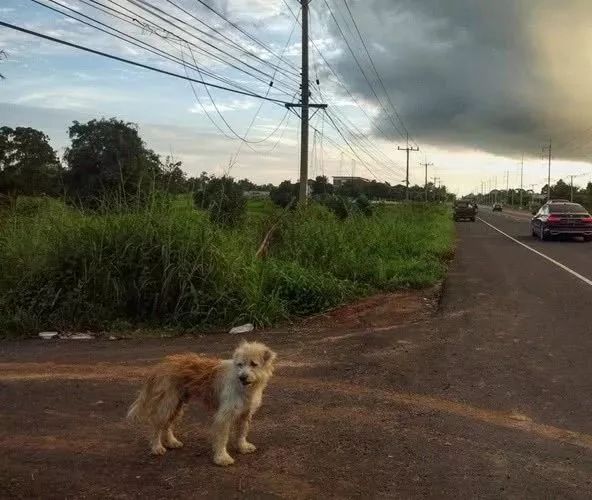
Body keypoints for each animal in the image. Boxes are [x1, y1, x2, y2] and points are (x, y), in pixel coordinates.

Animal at [128, 340, 276, 464]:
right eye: (240, 364)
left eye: (253, 364)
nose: (242, 377)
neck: (243, 386)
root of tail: (161, 365)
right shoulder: (223, 417)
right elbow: (222, 438)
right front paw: (222, 457)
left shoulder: (245, 413)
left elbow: (242, 432)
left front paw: (243, 447)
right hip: (167, 405)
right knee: (157, 426)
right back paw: (156, 447)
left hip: (177, 406)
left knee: (167, 425)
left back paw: (171, 442)